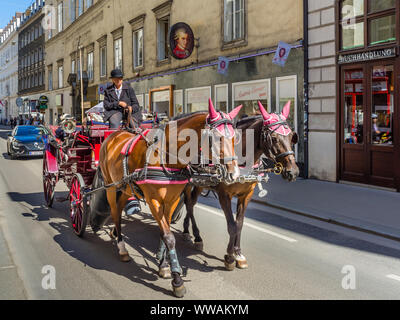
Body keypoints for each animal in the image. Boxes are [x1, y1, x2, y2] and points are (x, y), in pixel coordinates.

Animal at [98, 100, 242, 298]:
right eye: (216, 138)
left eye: (235, 137)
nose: (234, 174)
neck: (166, 155)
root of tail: (114, 134)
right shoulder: (154, 201)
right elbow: (169, 237)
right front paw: (177, 280)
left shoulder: (172, 200)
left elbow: (163, 233)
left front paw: (163, 264)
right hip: (111, 187)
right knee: (114, 211)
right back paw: (122, 247)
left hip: (125, 187)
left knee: (119, 209)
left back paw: (115, 234)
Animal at [180, 100, 298, 270]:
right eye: (274, 138)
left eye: (291, 137)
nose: (293, 171)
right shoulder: (224, 195)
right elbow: (232, 225)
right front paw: (229, 257)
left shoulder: (246, 195)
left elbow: (240, 224)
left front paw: (238, 254)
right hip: (189, 182)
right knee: (189, 204)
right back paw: (196, 236)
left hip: (200, 184)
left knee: (190, 203)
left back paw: (187, 231)